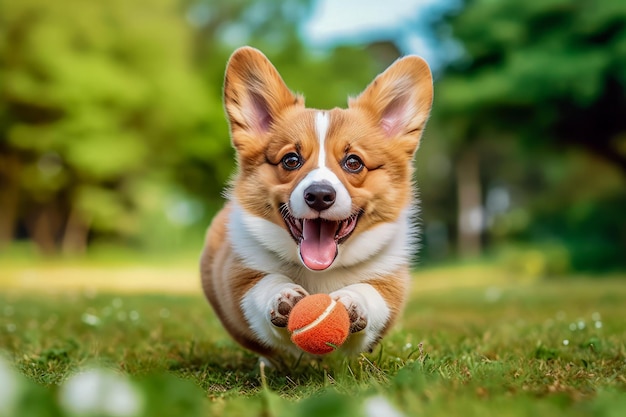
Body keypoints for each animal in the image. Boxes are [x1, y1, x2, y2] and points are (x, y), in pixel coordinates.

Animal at [202, 45, 432, 358]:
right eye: (291, 160)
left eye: (353, 162)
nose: (320, 195)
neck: (321, 271)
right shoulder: (238, 281)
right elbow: (263, 286)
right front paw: (283, 296)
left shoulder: (389, 288)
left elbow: (371, 294)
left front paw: (351, 301)